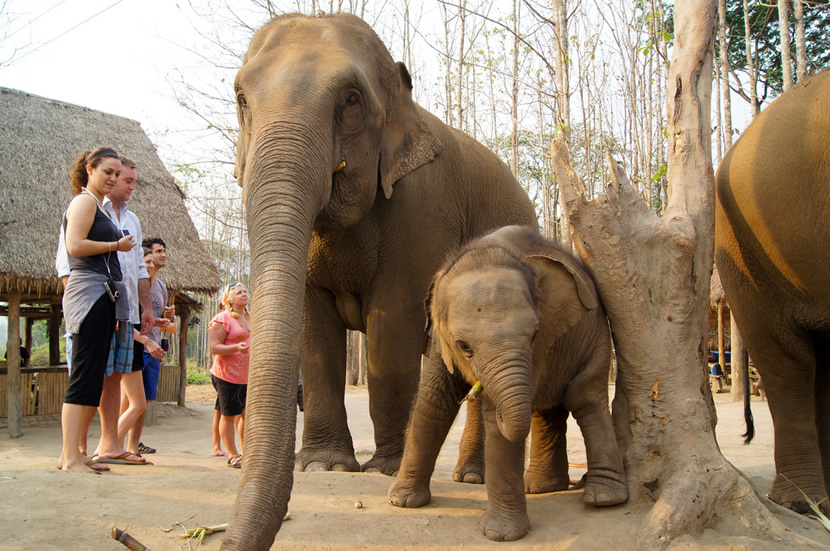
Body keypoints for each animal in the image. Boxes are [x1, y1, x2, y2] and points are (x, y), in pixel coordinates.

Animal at [224, 12, 540, 551]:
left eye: (351, 100)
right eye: (242, 98)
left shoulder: (424, 207)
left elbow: (391, 328)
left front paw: (383, 470)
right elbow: (313, 332)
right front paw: (325, 467)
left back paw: (471, 478)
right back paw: (467, 477)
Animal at [392, 226, 632, 540]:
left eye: (534, 334)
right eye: (464, 346)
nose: (476, 389)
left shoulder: (543, 341)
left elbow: (497, 422)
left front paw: (502, 535)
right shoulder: (439, 340)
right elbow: (434, 400)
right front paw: (402, 501)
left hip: (598, 339)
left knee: (585, 398)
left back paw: (604, 499)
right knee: (546, 410)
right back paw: (540, 487)